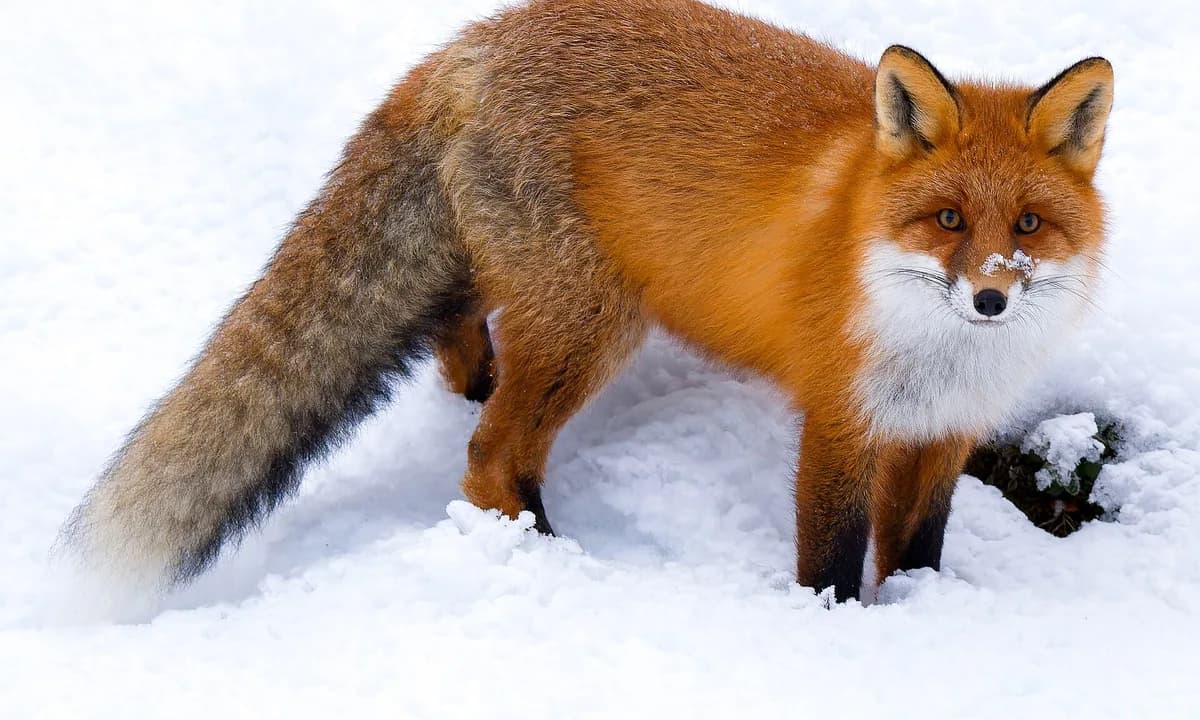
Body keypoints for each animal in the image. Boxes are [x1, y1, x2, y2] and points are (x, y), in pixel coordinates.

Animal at [63, 0, 1113, 603]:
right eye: (946, 218)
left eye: (1027, 225)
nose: (990, 299)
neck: (942, 355)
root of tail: (469, 42)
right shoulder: (840, 422)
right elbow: (832, 560)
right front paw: (836, 631)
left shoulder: (942, 434)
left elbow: (917, 554)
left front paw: (925, 622)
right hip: (593, 322)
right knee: (490, 456)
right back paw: (557, 565)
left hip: (531, 288)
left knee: (461, 341)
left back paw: (473, 380)